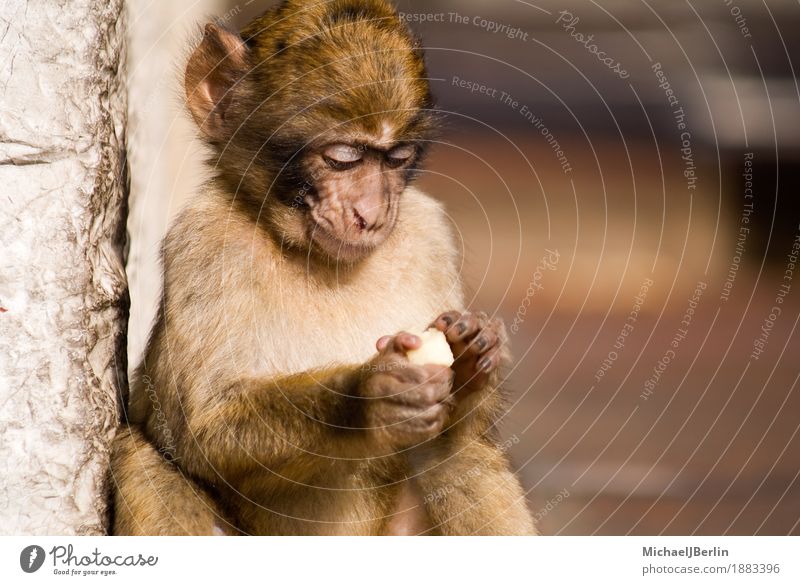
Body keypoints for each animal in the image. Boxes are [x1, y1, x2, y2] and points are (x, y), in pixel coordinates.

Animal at [109, 0, 536, 532]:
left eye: (396, 158)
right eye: (343, 158)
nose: (372, 214)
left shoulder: (429, 232)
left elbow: (464, 435)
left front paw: (475, 351)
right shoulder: (203, 241)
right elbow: (203, 428)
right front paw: (367, 395)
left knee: (460, 456)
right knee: (144, 460)